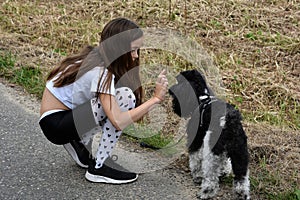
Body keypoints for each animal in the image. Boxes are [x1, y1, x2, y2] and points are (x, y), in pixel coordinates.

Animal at [169, 69, 251, 199]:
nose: (170, 90)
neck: (203, 98)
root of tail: (229, 121)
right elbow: (225, 162)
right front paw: (224, 171)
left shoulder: (196, 140)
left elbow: (195, 159)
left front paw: (197, 176)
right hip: (240, 154)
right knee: (241, 179)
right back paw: (242, 195)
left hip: (211, 153)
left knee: (211, 177)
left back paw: (206, 192)